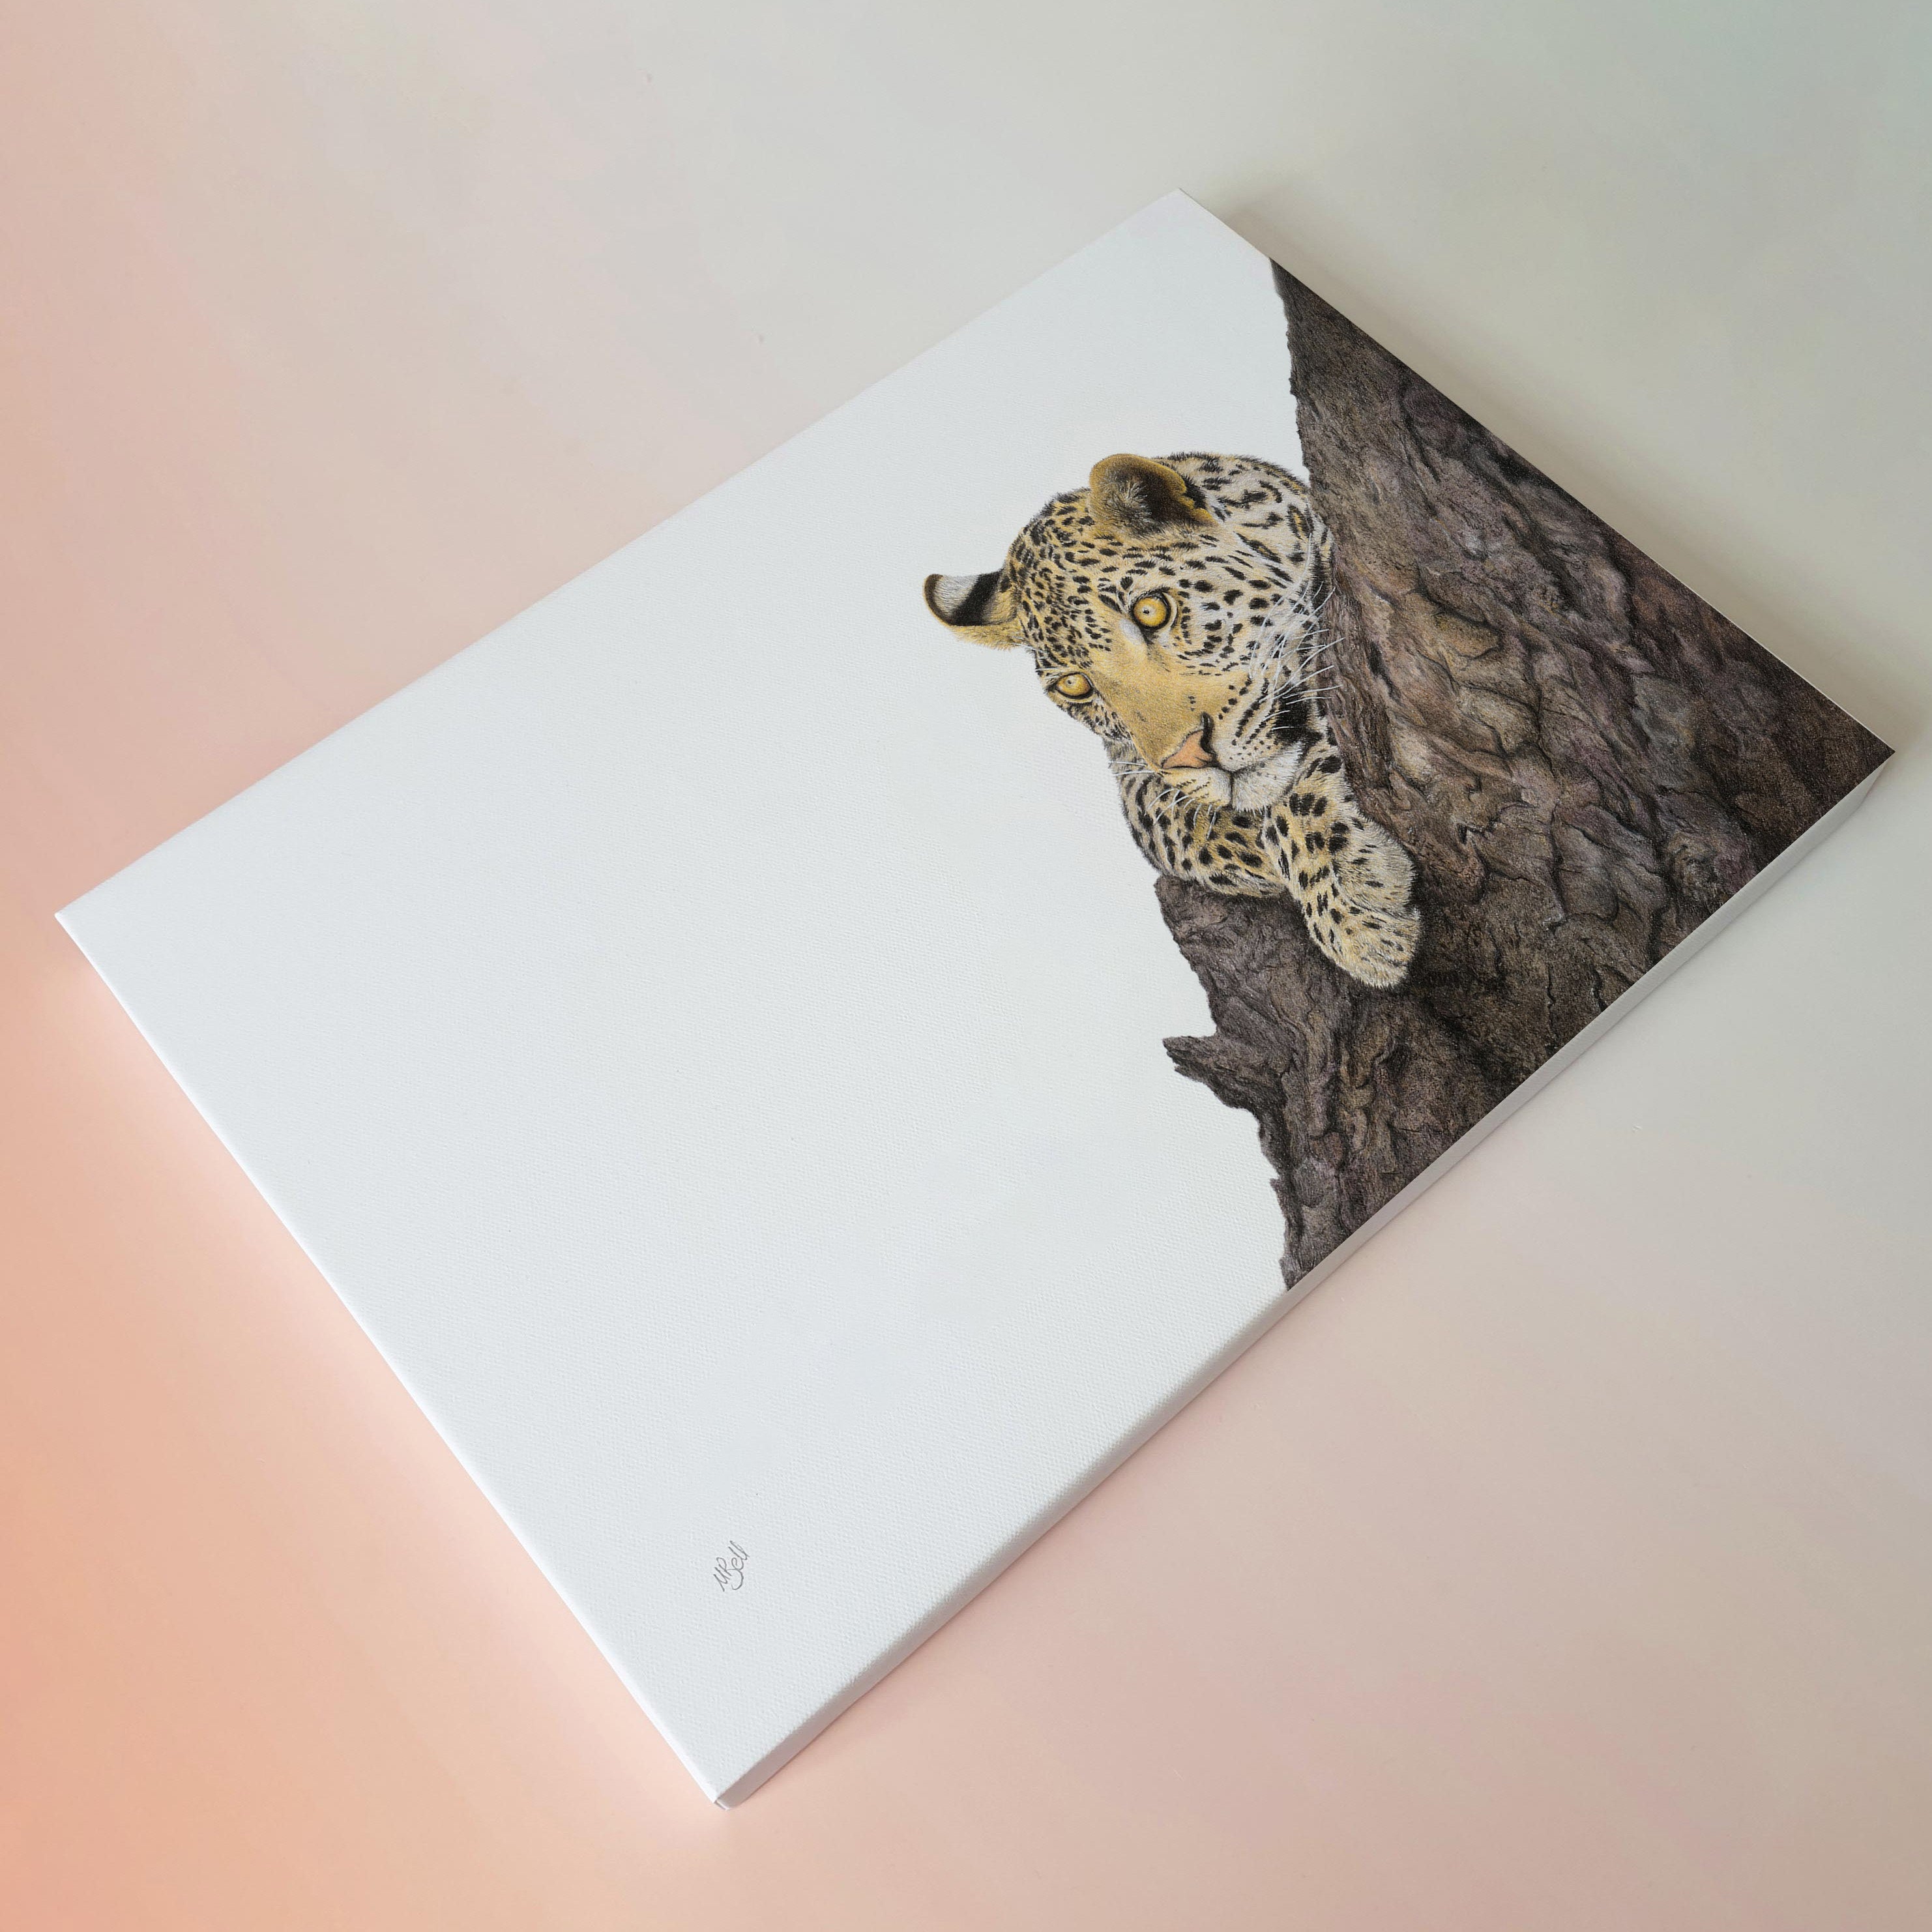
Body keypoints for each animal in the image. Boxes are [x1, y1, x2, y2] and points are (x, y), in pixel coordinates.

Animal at [923, 451, 1420, 989]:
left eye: (1151, 612)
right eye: (1075, 686)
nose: (1189, 756)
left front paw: (1353, 902)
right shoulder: (1135, 773)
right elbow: (1173, 826)